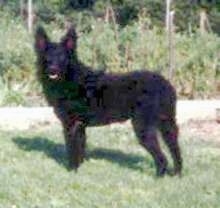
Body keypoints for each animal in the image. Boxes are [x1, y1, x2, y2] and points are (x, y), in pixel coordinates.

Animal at [34, 26, 182, 176]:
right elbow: (80, 150)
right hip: (167, 125)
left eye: (62, 57)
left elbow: (72, 151)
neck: (71, 78)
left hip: (143, 127)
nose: (53, 70)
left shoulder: (71, 125)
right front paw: (79, 170)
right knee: (175, 150)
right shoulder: (80, 127)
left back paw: (159, 176)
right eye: (47, 58)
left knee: (162, 158)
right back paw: (177, 173)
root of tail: (165, 84)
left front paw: (72, 171)